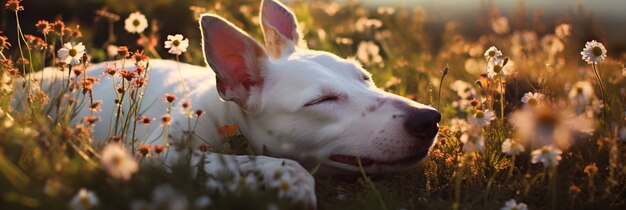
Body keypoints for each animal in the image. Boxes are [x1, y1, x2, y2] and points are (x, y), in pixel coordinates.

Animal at [31, 0, 438, 207]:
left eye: (364, 77)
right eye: (323, 100)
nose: (429, 119)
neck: (216, 110)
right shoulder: (150, 154)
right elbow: (271, 163)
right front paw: (292, 183)